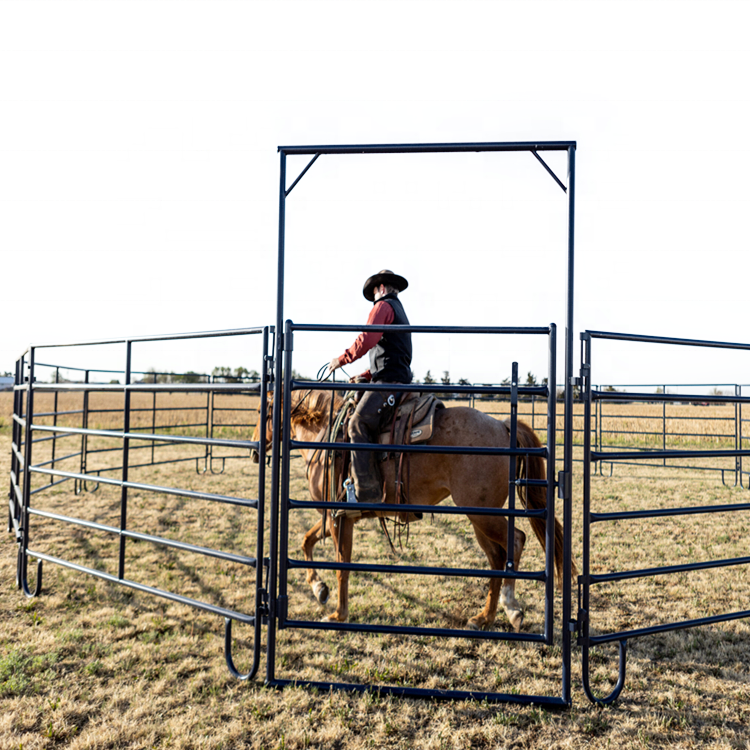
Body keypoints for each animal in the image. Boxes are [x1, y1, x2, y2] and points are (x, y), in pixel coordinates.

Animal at [250, 390, 568, 632]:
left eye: (263, 412)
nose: (254, 449)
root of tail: (502, 426)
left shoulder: (338, 517)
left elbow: (342, 565)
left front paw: (338, 614)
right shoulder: (333, 516)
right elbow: (307, 540)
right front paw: (319, 589)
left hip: (482, 513)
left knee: (515, 541)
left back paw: (511, 607)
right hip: (479, 518)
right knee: (496, 558)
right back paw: (483, 618)